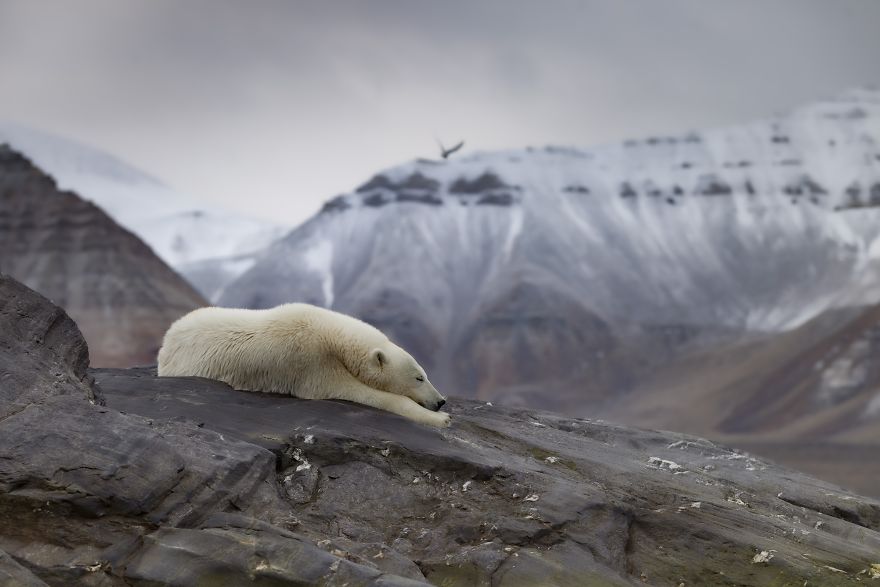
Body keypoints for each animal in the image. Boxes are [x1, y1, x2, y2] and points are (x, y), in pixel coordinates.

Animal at [157, 303, 451, 427]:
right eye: (419, 377)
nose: (441, 401)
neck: (331, 334)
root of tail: (167, 340)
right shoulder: (310, 360)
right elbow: (355, 392)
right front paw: (441, 419)